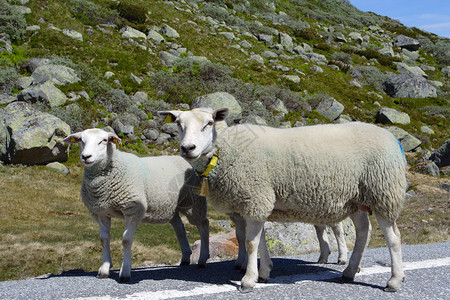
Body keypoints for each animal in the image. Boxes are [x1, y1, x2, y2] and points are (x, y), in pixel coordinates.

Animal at [63, 128, 211, 282]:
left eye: (103, 141)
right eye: (81, 140)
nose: (86, 156)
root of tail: (186, 161)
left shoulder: (132, 210)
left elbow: (126, 240)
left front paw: (125, 272)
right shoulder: (101, 212)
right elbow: (104, 240)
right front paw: (104, 269)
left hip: (193, 202)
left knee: (203, 225)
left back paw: (202, 259)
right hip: (170, 206)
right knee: (180, 227)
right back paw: (185, 258)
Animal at [159, 108, 408, 292]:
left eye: (209, 123)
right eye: (178, 124)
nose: (187, 148)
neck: (226, 151)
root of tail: (390, 137)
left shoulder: (256, 197)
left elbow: (250, 243)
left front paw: (248, 280)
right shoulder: (255, 202)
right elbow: (258, 241)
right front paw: (264, 273)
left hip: (384, 192)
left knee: (394, 237)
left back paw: (394, 281)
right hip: (356, 200)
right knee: (364, 232)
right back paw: (349, 272)